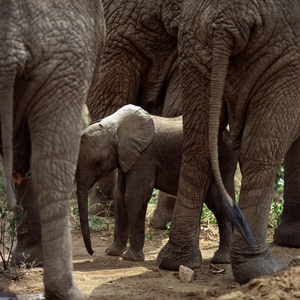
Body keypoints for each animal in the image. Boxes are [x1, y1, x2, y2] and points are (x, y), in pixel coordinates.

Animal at [0, 1, 105, 298]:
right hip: (67, 59)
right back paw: (66, 291)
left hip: (62, 61)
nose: (93, 253)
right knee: (53, 167)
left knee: (47, 165)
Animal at [76, 105, 236, 262]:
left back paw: (221, 259)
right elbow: (120, 196)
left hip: (222, 160)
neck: (115, 124)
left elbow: (134, 197)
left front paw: (130, 258)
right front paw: (112, 253)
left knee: (220, 204)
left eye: (98, 162)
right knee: (216, 203)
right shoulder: (126, 157)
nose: (92, 252)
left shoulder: (145, 156)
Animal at [157, 0, 300, 284]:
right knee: (262, 148)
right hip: (286, 55)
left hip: (193, 46)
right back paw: (263, 270)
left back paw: (176, 261)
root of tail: (227, 17)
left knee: (197, 144)